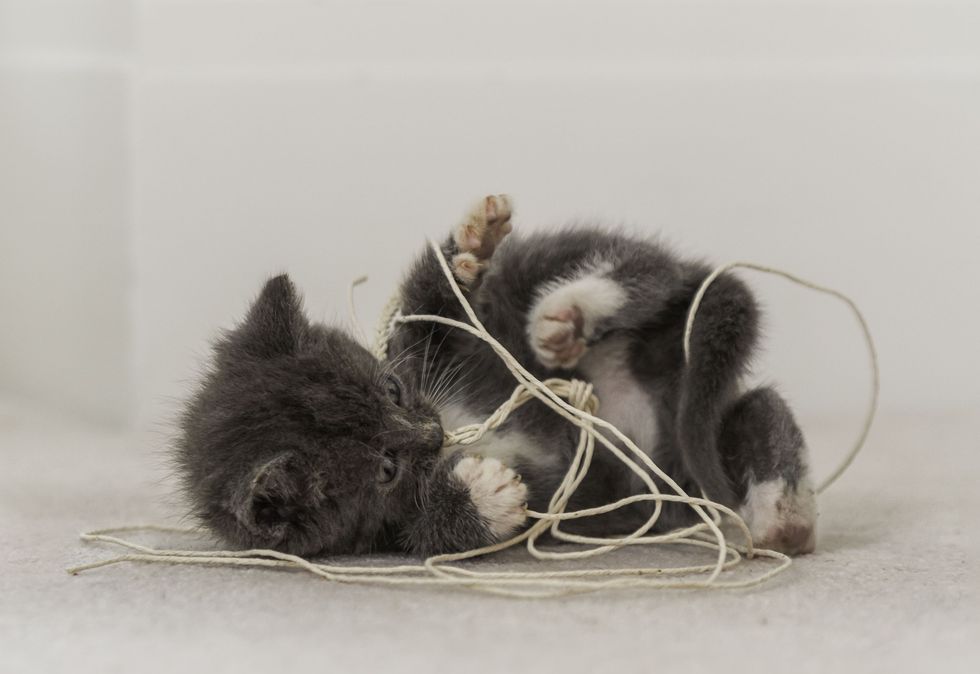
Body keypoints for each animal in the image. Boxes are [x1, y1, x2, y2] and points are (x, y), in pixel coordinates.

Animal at [175, 195, 817, 557]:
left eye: (393, 390)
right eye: (385, 468)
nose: (432, 433)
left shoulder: (435, 351)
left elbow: (434, 306)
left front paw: (468, 248)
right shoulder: (385, 533)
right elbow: (436, 536)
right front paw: (484, 495)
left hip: (588, 292)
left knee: (636, 268)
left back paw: (570, 310)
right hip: (673, 465)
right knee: (755, 412)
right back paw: (783, 520)